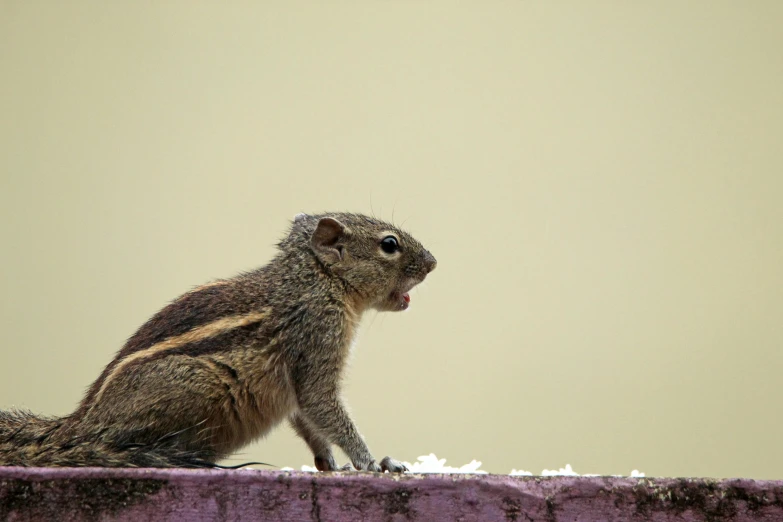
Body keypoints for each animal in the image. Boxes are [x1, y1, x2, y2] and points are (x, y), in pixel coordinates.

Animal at [0, 211, 434, 472]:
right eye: (389, 244)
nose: (433, 262)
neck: (316, 279)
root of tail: (75, 425)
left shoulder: (296, 387)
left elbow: (308, 423)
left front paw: (330, 465)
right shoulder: (317, 343)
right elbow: (324, 409)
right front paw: (373, 464)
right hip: (198, 388)